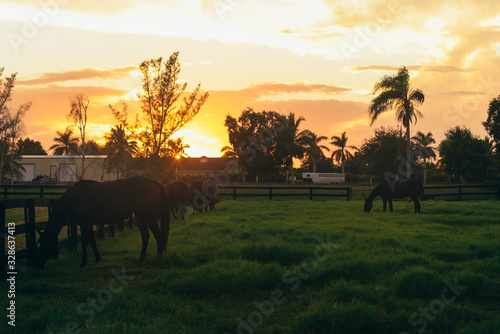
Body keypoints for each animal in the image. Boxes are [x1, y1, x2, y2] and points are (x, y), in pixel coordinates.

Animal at [33, 177, 170, 268]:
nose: (37, 264)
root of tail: (152, 182)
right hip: (140, 217)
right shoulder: (88, 224)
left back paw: (158, 257)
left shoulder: (84, 223)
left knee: (157, 234)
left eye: (43, 246)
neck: (75, 197)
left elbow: (85, 242)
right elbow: (92, 241)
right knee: (145, 236)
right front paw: (98, 258)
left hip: (148, 217)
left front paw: (83, 262)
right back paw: (141, 259)